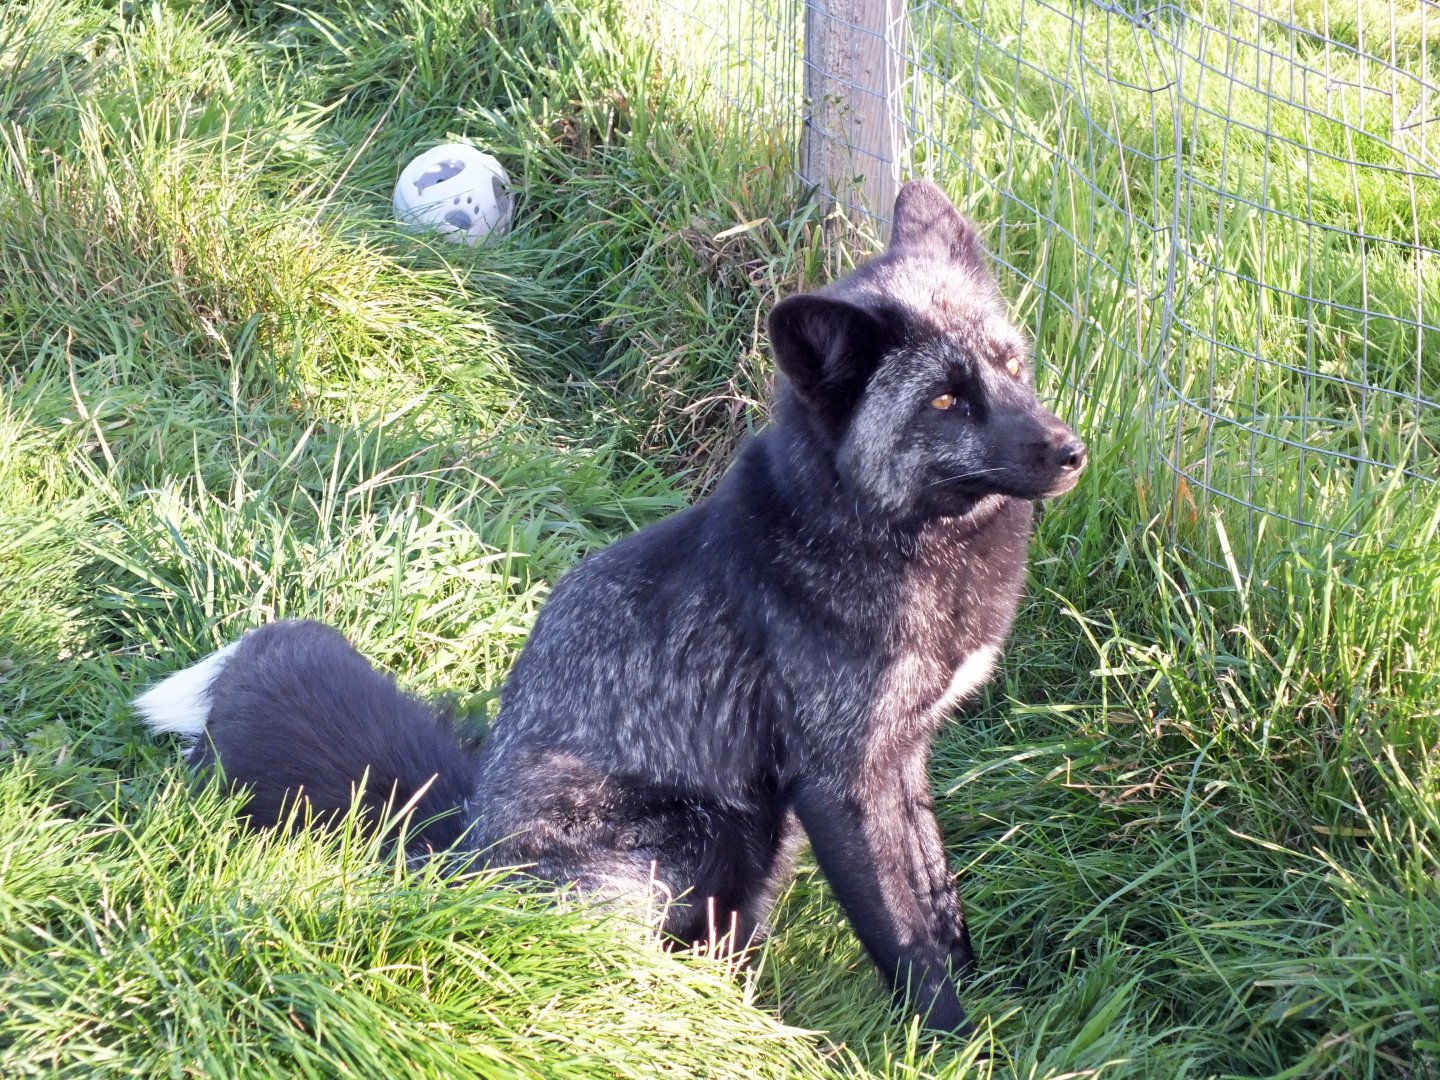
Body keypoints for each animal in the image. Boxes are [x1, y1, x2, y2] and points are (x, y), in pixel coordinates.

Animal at [134, 179, 1086, 1033]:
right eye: (945, 399)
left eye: (1010, 364)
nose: (1072, 451)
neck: (874, 530)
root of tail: (461, 852)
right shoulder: (841, 779)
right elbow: (906, 939)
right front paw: (957, 1045)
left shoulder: (904, 753)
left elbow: (940, 902)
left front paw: (995, 1008)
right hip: (691, 836)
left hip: (759, 837)